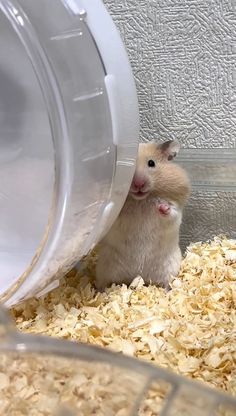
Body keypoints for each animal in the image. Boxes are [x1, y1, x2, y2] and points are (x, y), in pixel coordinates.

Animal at [95, 139, 191, 290]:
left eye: (151, 163)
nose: (138, 184)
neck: (141, 200)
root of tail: (140, 276)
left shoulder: (176, 209)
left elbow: (171, 212)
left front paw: (162, 207)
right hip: (104, 268)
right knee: (103, 283)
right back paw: (100, 291)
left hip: (170, 268)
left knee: (166, 283)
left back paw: (167, 291)